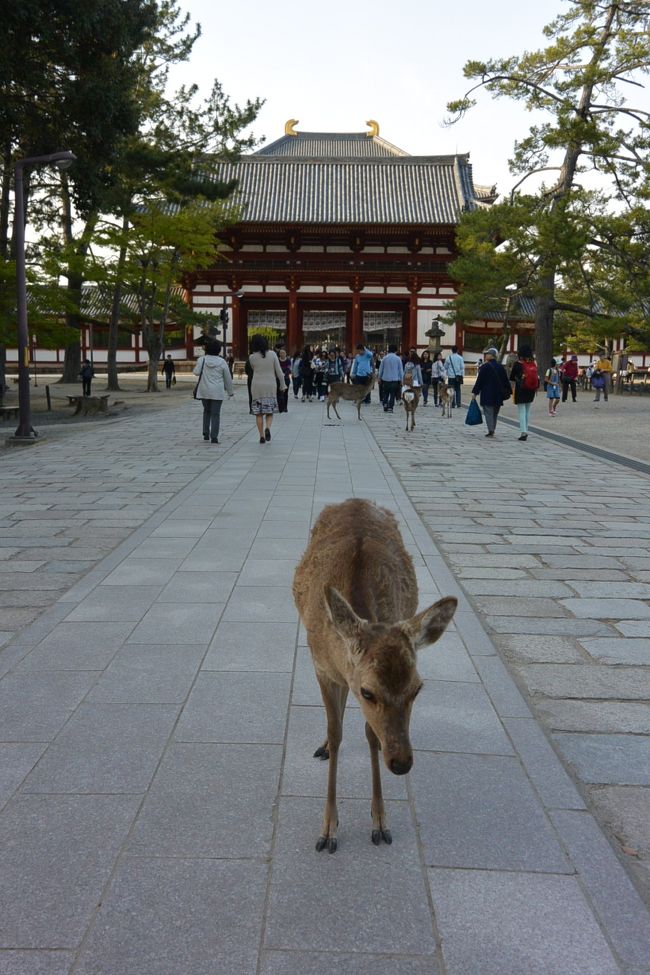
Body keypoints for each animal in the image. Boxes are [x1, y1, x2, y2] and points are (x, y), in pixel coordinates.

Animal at [292, 498, 457, 853]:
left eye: (417, 689)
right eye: (368, 692)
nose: (402, 763)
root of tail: (354, 500)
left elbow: (371, 735)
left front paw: (380, 823)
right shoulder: (321, 668)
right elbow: (337, 732)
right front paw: (328, 831)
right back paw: (324, 746)